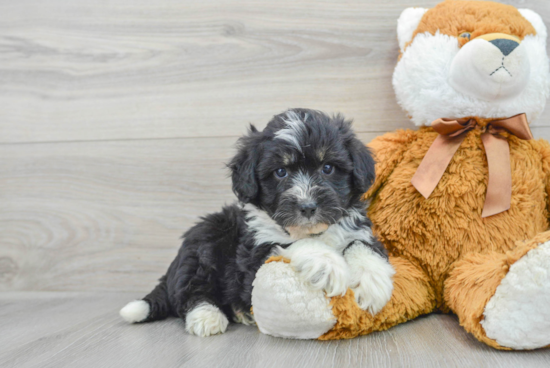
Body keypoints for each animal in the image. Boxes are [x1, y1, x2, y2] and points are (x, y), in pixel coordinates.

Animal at [121, 108, 396, 336]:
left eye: (327, 167)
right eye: (280, 172)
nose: (307, 206)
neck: (311, 231)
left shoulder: (357, 229)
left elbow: (360, 245)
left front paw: (371, 282)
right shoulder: (253, 255)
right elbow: (291, 244)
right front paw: (328, 264)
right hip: (205, 240)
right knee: (191, 290)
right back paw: (207, 316)